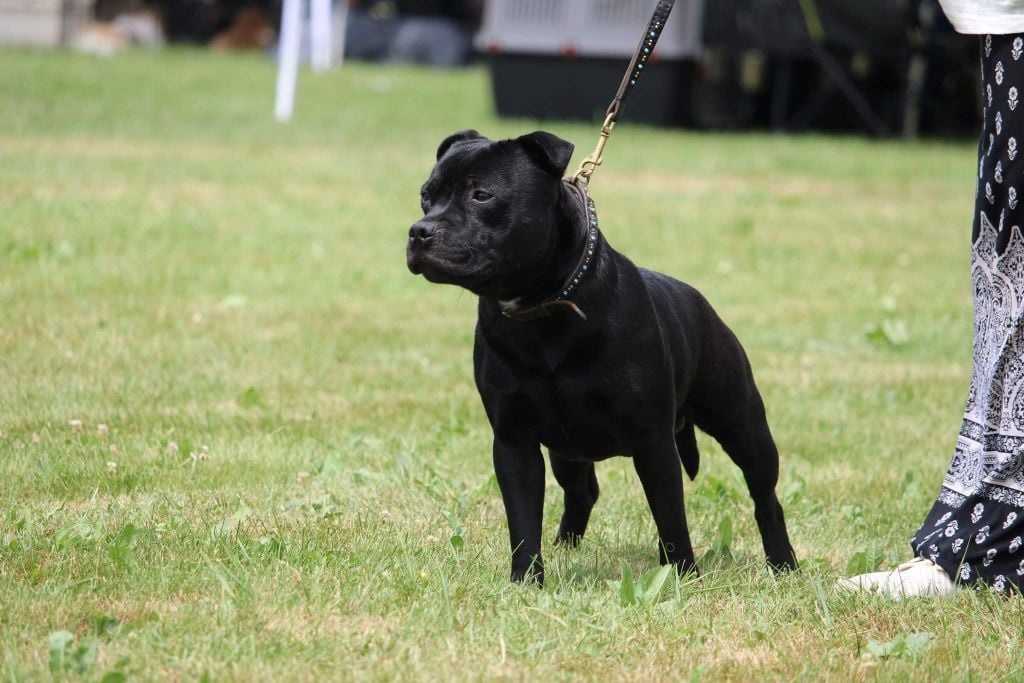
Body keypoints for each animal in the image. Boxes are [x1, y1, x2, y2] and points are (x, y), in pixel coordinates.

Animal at [403, 131, 794, 585]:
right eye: (425, 196)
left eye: (482, 195)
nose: (419, 231)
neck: (542, 309)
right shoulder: (515, 440)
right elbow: (522, 519)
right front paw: (525, 581)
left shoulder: (653, 441)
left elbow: (671, 516)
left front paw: (683, 575)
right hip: (566, 449)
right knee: (581, 490)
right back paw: (566, 545)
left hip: (742, 425)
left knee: (765, 496)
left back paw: (783, 564)